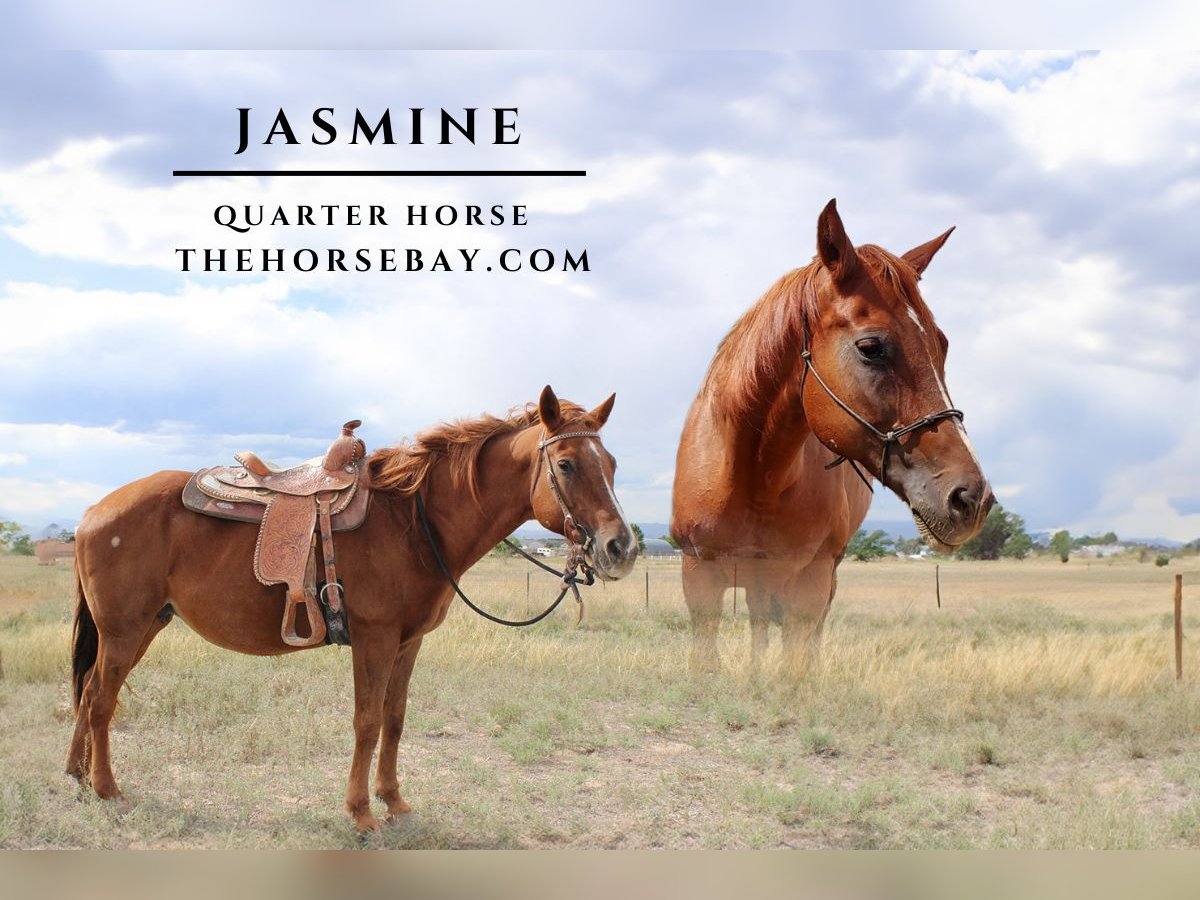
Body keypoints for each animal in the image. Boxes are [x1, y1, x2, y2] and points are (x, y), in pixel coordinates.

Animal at [65, 388, 638, 830]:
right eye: (565, 464)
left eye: (611, 465)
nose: (621, 548)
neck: (415, 522)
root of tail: (93, 511)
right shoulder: (374, 638)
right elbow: (366, 721)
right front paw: (361, 812)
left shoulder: (409, 641)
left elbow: (395, 718)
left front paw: (395, 802)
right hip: (124, 630)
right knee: (101, 701)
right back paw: (107, 788)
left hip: (144, 627)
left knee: (89, 690)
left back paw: (77, 775)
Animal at [676, 199, 993, 676]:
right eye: (871, 348)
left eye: (943, 345)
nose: (972, 498)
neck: (752, 477)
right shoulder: (700, 575)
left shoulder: (809, 581)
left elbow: (795, 665)